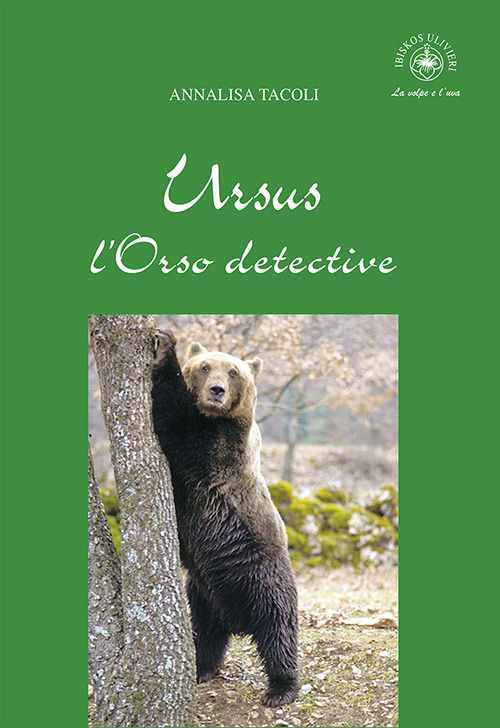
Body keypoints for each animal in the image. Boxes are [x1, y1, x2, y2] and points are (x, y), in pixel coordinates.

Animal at [151, 330, 299, 707]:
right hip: (203, 591)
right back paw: (202, 668)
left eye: (234, 372)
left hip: (263, 578)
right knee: (205, 634)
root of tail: (237, 619)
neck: (215, 416)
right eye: (205, 366)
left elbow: (175, 418)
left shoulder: (217, 449)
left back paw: (281, 688)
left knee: (279, 631)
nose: (216, 390)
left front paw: (165, 346)